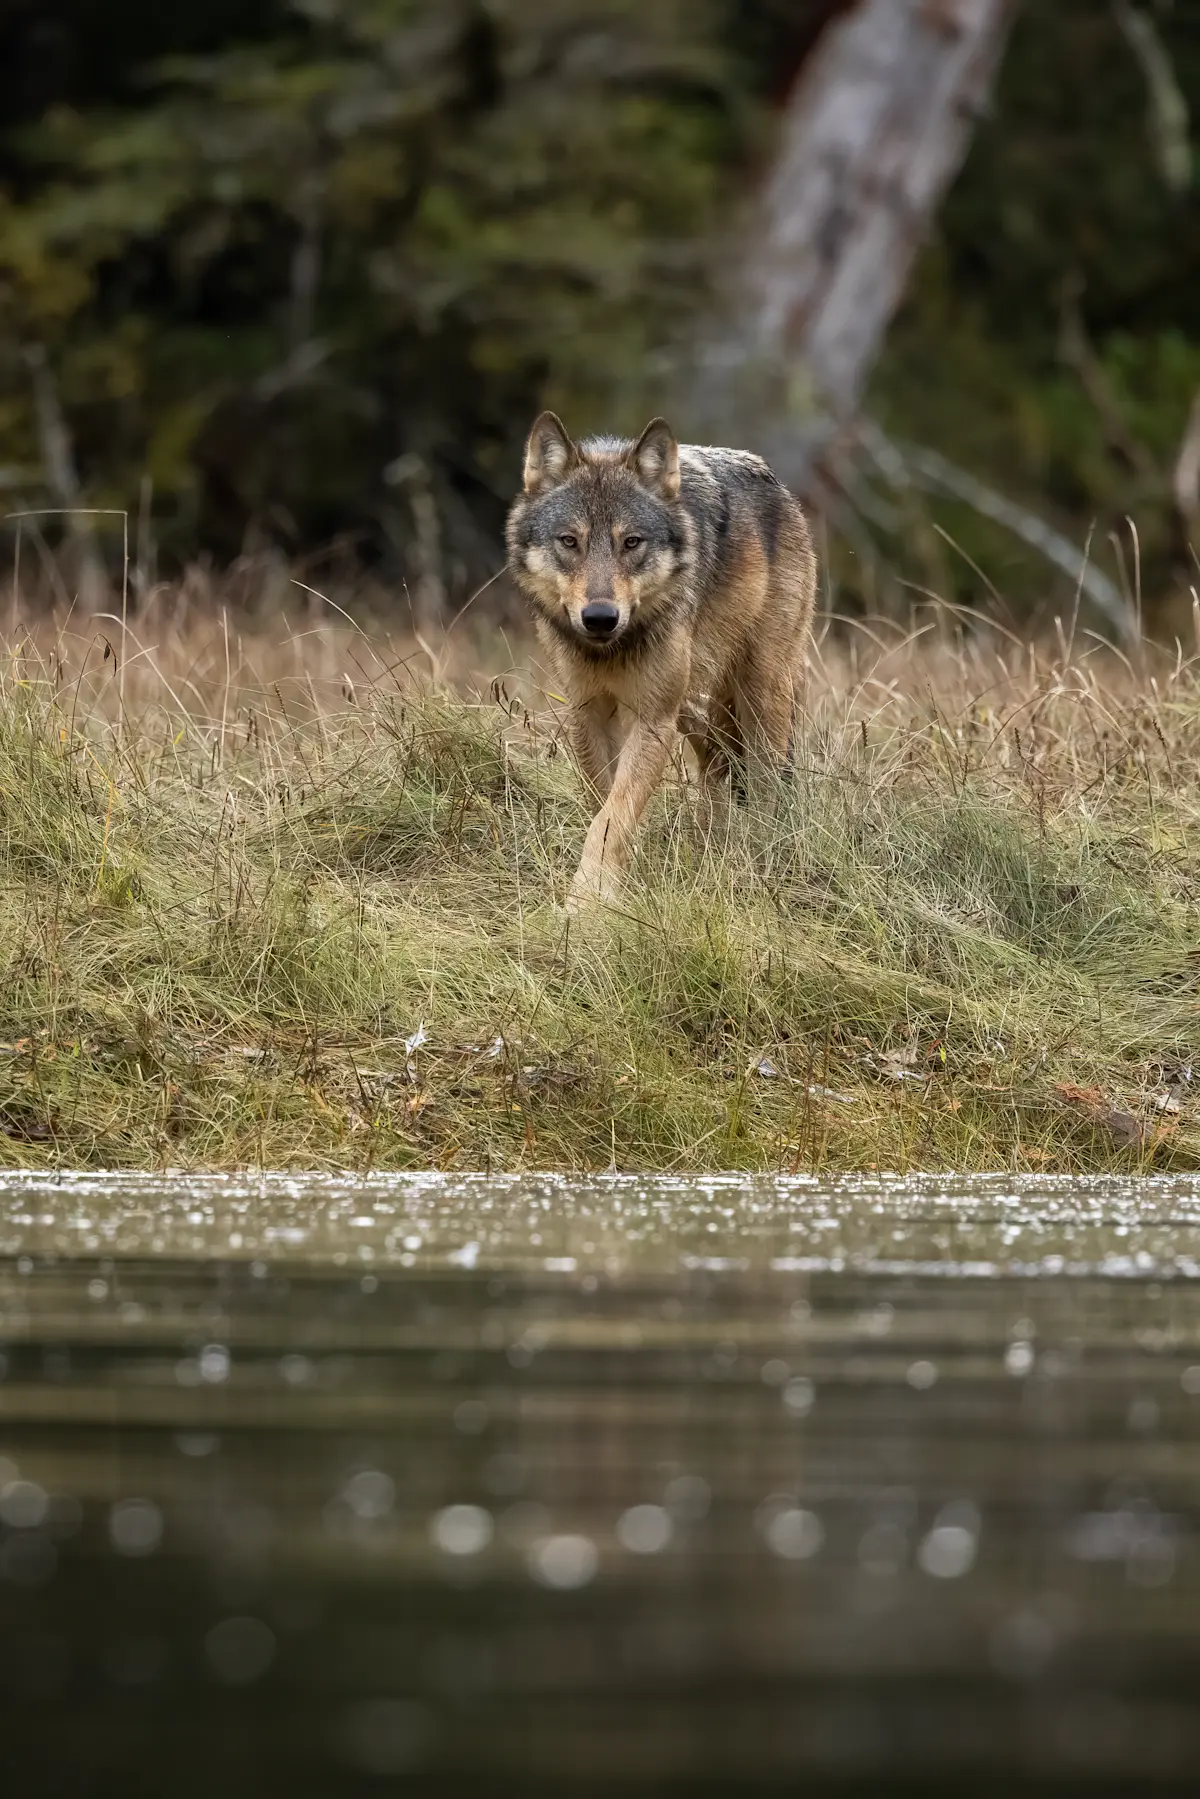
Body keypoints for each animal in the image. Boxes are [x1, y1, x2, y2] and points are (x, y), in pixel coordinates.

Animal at [506, 412, 818, 908]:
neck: (611, 651)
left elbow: (612, 817)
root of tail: (779, 486)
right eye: (569, 541)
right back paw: (712, 845)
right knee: (717, 767)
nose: (600, 617)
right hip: (696, 706)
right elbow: (605, 804)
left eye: (631, 542)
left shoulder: (653, 719)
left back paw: (759, 857)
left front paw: (584, 906)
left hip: (760, 693)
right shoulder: (587, 714)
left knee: (765, 782)